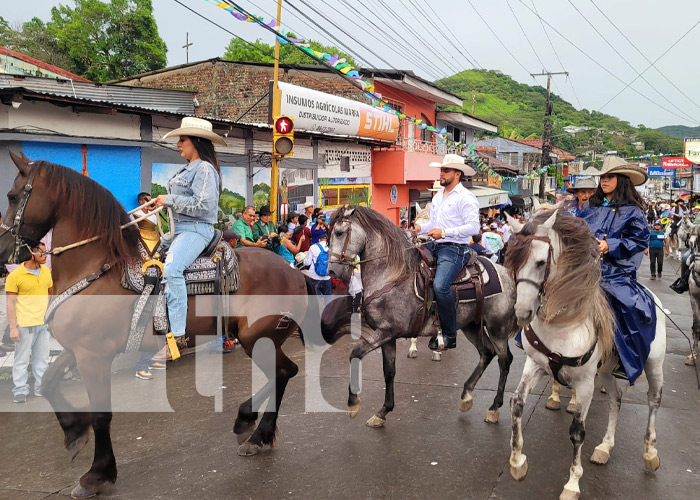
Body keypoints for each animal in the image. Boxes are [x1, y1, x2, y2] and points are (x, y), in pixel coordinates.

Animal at [0, 154, 312, 498]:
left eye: (12, 196)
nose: (2, 250)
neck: (97, 269)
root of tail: (294, 272)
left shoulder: (94, 356)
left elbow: (101, 414)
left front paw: (97, 473)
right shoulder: (78, 350)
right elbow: (47, 382)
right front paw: (74, 433)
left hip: (257, 338)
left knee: (284, 372)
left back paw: (251, 427)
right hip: (259, 339)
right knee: (282, 374)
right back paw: (256, 433)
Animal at [326, 205, 516, 428]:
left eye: (339, 233)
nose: (332, 270)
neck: (392, 275)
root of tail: (506, 273)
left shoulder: (387, 331)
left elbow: (355, 354)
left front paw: (353, 403)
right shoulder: (387, 335)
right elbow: (389, 371)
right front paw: (383, 411)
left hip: (497, 328)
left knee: (504, 360)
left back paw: (494, 407)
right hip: (470, 325)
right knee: (487, 353)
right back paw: (466, 395)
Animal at [506, 210, 664, 500]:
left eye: (540, 262)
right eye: (510, 259)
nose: (522, 313)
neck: (563, 322)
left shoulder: (585, 383)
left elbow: (577, 432)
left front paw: (572, 483)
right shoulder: (535, 365)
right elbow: (517, 404)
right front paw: (517, 462)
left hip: (653, 365)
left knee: (653, 402)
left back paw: (650, 452)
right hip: (606, 371)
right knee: (615, 400)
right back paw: (605, 447)